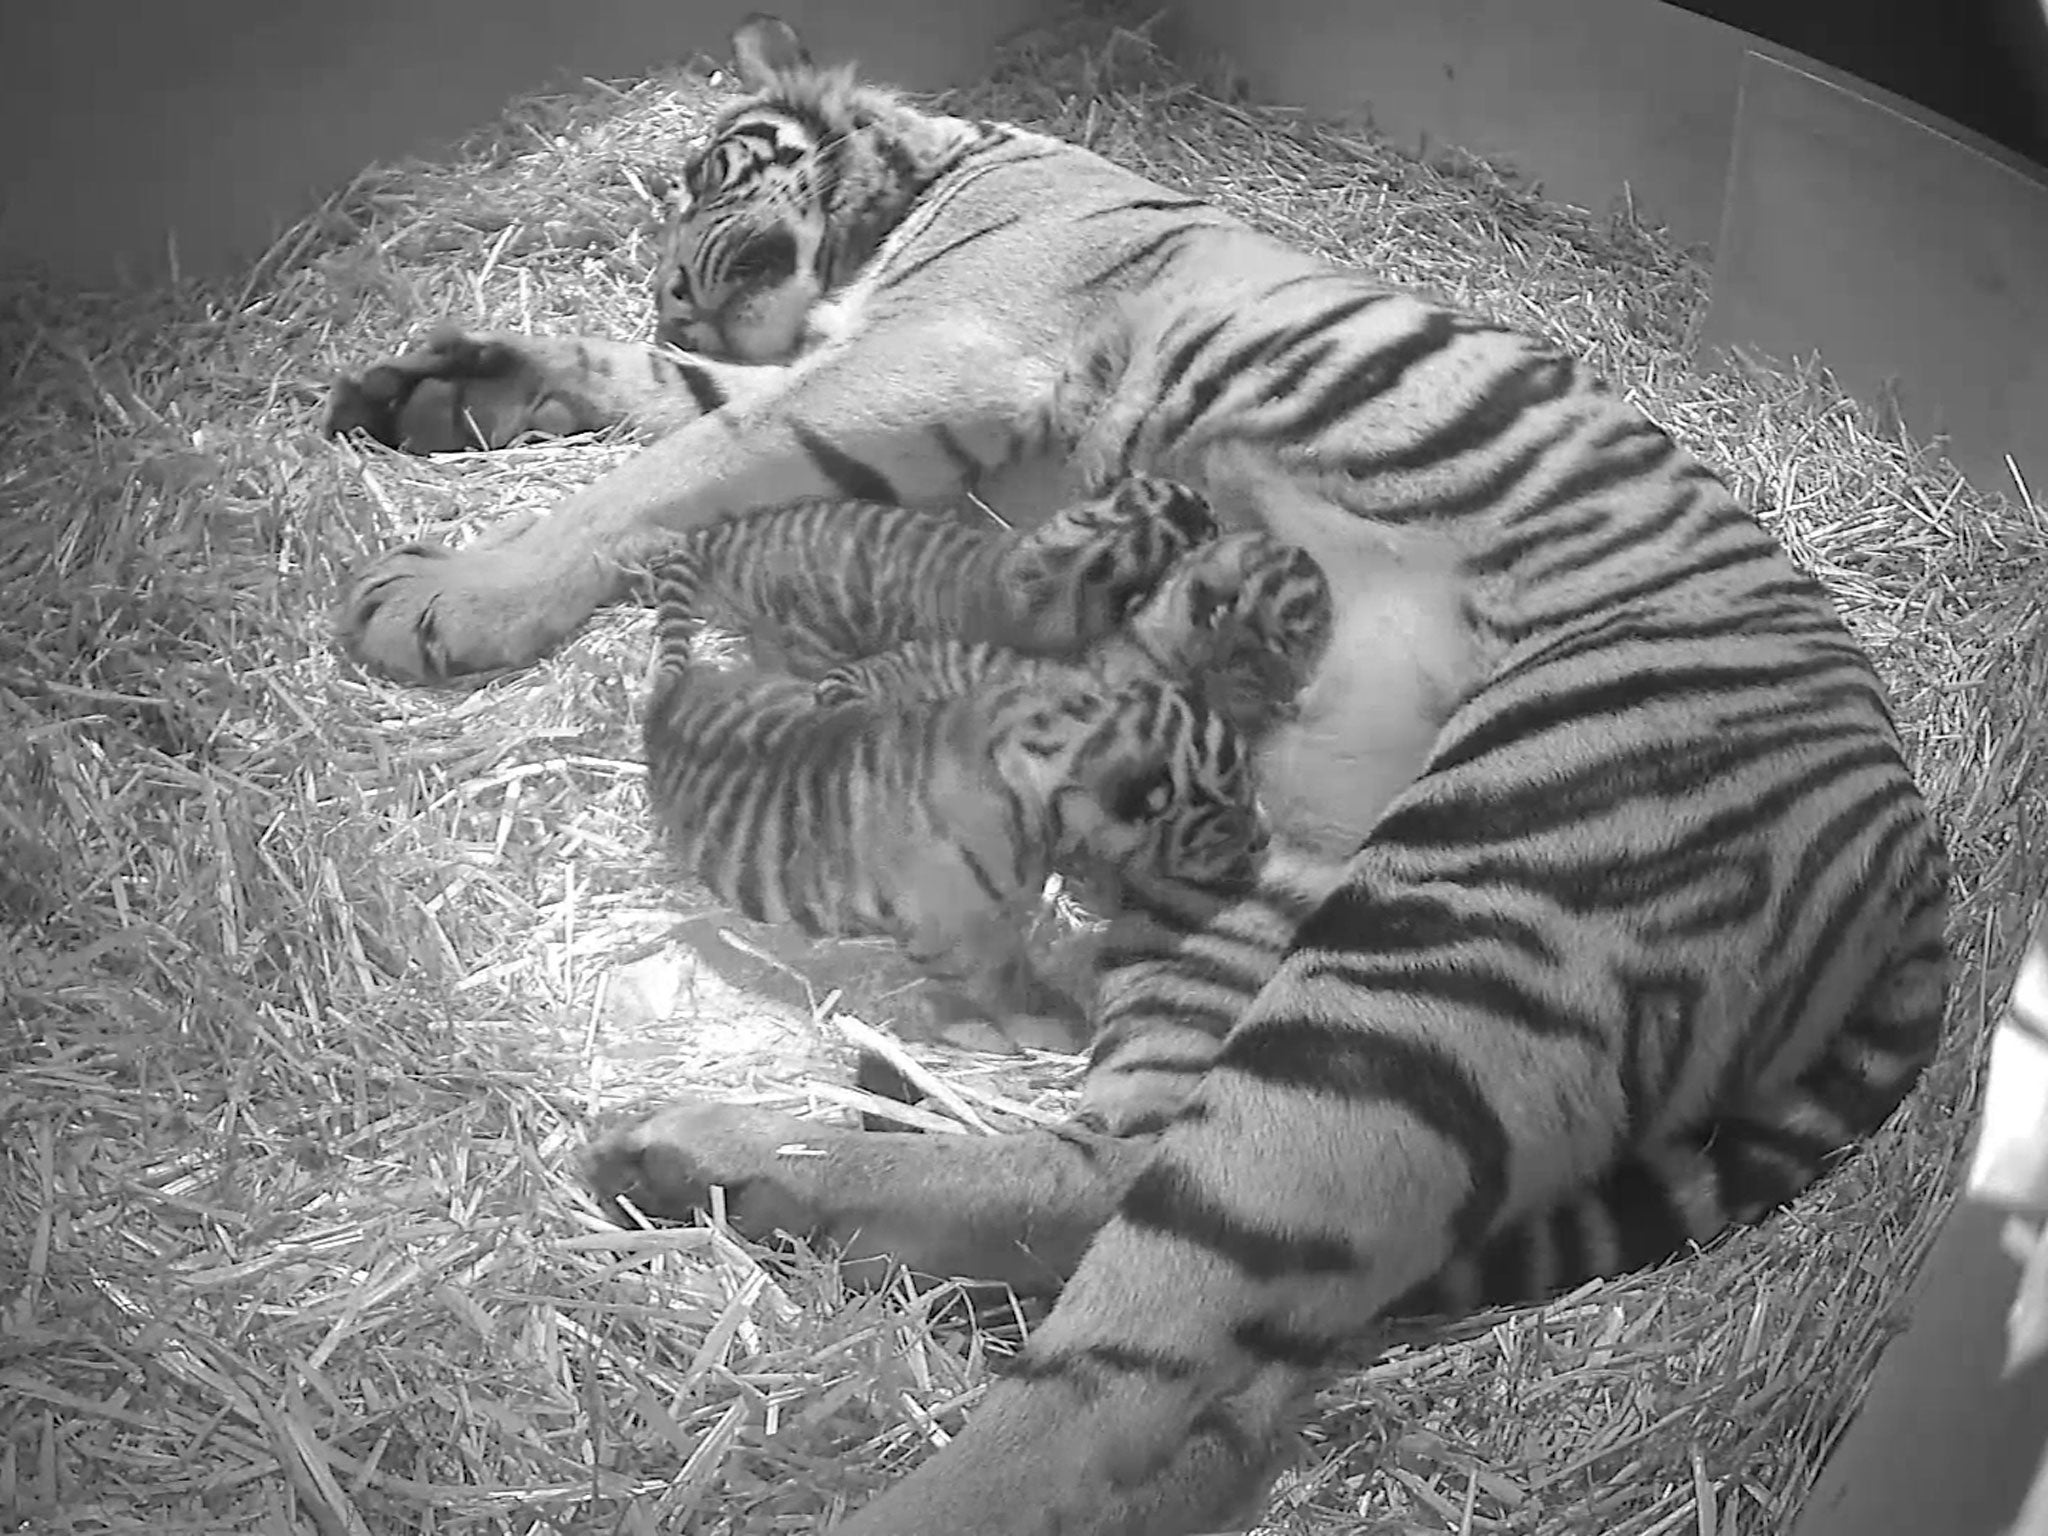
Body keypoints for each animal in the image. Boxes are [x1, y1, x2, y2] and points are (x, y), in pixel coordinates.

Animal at [323, 15, 1949, 1536]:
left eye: (708, 175)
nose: (664, 280)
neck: (933, 173)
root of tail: (1917, 847)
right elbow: (679, 394)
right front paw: (432, 386)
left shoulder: (922, 357)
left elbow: (667, 462)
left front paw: (440, 595)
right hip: (1251, 894)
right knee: (1128, 1196)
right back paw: (717, 1164)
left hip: (1466, 925)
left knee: (1152, 1329)